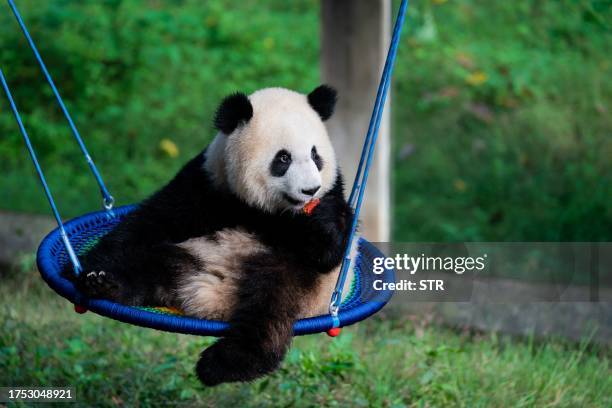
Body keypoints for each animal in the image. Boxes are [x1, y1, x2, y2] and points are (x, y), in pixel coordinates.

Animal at [70, 85, 358, 386]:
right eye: (283, 158)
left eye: (316, 156)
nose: (310, 190)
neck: (268, 213)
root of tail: (210, 296)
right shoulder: (210, 184)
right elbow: (154, 219)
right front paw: (90, 267)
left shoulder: (333, 194)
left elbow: (329, 250)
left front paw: (320, 221)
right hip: (189, 252)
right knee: (147, 266)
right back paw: (107, 285)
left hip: (299, 282)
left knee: (270, 305)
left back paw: (223, 363)